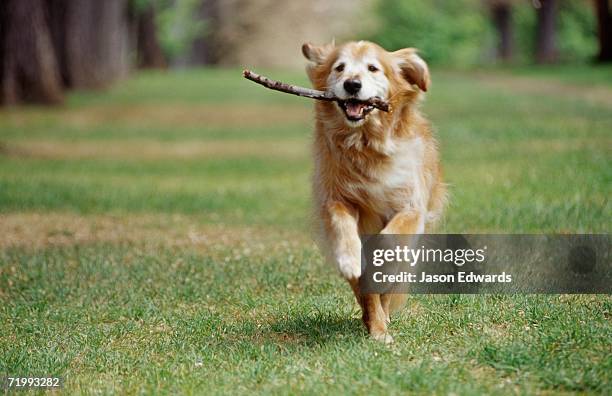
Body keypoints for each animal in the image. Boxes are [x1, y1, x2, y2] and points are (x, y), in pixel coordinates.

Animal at [304, 41, 444, 344]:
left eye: (373, 68)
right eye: (339, 67)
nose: (352, 84)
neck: (366, 144)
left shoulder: (410, 206)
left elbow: (390, 237)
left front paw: (381, 261)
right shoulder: (336, 197)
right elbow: (343, 225)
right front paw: (351, 258)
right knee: (366, 293)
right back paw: (376, 325)